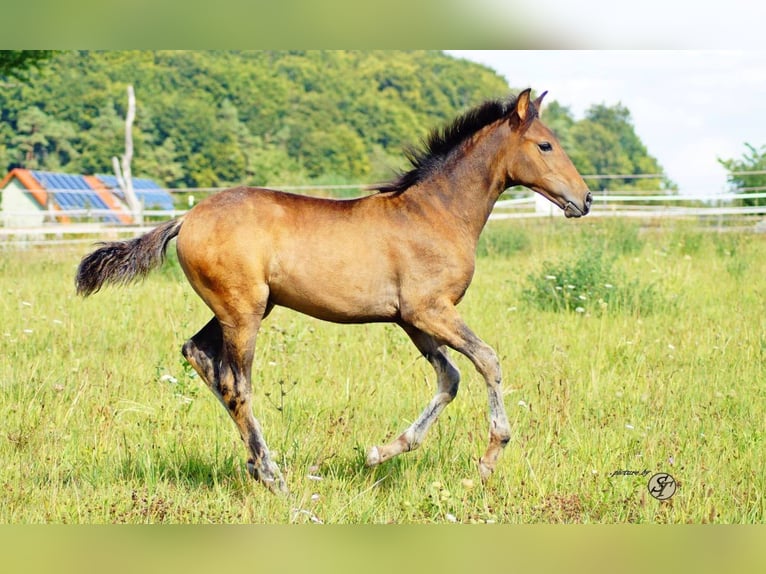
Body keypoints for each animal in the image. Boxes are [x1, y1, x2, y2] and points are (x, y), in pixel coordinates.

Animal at [76, 90, 592, 496]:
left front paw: (381, 451)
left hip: (243, 308)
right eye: (545, 144)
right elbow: (487, 360)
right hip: (243, 311)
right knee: (237, 385)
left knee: (198, 355)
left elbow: (449, 378)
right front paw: (488, 460)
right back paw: (273, 476)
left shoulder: (411, 320)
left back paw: (256, 463)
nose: (584, 199)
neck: (435, 213)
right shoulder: (429, 310)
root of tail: (187, 218)